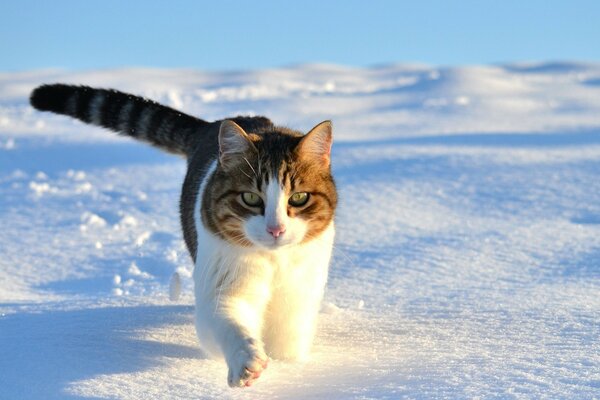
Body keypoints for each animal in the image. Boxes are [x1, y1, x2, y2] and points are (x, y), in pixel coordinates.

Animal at [30, 84, 338, 388]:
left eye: (298, 198)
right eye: (250, 198)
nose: (276, 229)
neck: (274, 261)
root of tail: (211, 126)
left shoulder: (299, 289)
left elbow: (287, 339)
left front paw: (290, 367)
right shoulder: (223, 275)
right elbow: (227, 319)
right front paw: (246, 361)